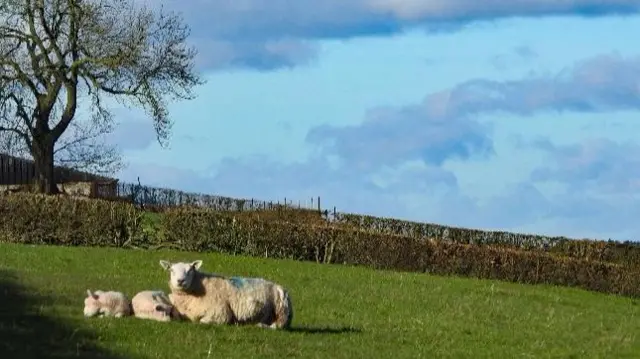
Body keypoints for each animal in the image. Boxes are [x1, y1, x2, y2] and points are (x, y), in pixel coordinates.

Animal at [159, 260, 294, 330]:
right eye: (171, 270)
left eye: (190, 270)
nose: (180, 281)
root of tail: (280, 287)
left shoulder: (220, 314)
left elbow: (202, 322)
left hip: (282, 311)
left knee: (278, 326)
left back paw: (261, 326)